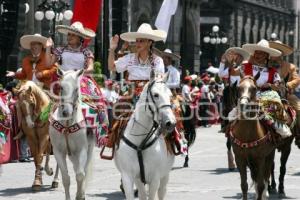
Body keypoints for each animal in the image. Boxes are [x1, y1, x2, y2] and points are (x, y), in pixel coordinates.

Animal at [49, 69, 95, 200]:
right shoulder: (58, 151)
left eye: (76, 89)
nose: (66, 112)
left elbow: (80, 175)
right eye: (61, 87)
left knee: (84, 170)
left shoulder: (82, 150)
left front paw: (80, 195)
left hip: (89, 148)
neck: (67, 125)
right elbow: (66, 178)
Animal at [114, 72, 176, 200]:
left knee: (161, 192)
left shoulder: (155, 179)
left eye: (170, 95)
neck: (139, 142)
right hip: (139, 180)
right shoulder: (128, 176)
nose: (170, 123)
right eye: (156, 95)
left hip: (165, 175)